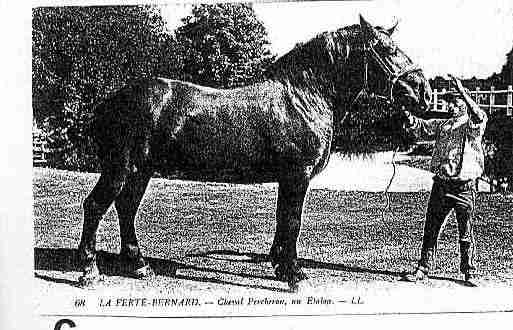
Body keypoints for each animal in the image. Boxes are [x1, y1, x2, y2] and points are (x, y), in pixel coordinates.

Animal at [78, 16, 432, 288]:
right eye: (387, 50)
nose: (425, 94)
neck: (303, 97)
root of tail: (110, 102)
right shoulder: (297, 175)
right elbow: (291, 220)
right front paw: (293, 274)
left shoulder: (290, 179)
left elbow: (283, 220)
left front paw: (280, 266)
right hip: (120, 168)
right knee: (95, 206)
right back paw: (89, 271)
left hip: (142, 170)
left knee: (126, 207)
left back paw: (139, 265)